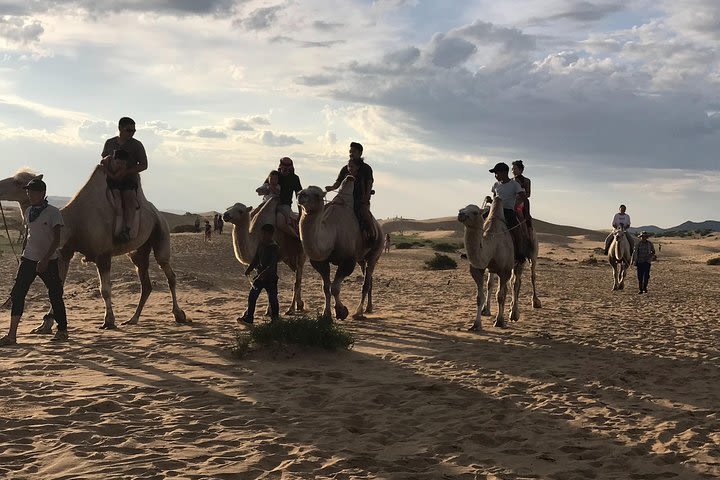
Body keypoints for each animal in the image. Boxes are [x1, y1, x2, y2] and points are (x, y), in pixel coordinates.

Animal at [0, 168, 188, 330]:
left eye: (18, 182)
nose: (0, 186)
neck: (73, 222)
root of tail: (157, 212)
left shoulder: (103, 254)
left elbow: (104, 290)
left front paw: (109, 321)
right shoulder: (65, 252)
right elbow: (58, 288)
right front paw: (45, 325)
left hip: (161, 233)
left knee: (169, 273)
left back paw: (179, 314)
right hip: (138, 251)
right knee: (146, 282)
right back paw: (133, 319)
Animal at [296, 175, 382, 318]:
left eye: (317, 194)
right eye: (303, 190)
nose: (300, 194)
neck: (332, 234)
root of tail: (379, 228)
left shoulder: (348, 261)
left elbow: (335, 288)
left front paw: (342, 311)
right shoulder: (320, 262)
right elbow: (326, 288)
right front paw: (326, 313)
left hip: (375, 253)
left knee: (366, 281)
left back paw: (359, 311)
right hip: (361, 258)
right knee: (369, 279)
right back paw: (368, 308)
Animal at [458, 198, 536, 330]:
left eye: (475, 212)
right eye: (462, 208)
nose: (460, 214)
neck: (492, 245)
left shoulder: (504, 271)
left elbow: (500, 295)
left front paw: (499, 321)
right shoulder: (478, 270)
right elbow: (480, 297)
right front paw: (476, 324)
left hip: (528, 255)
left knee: (522, 280)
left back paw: (522, 309)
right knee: (496, 284)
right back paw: (493, 310)